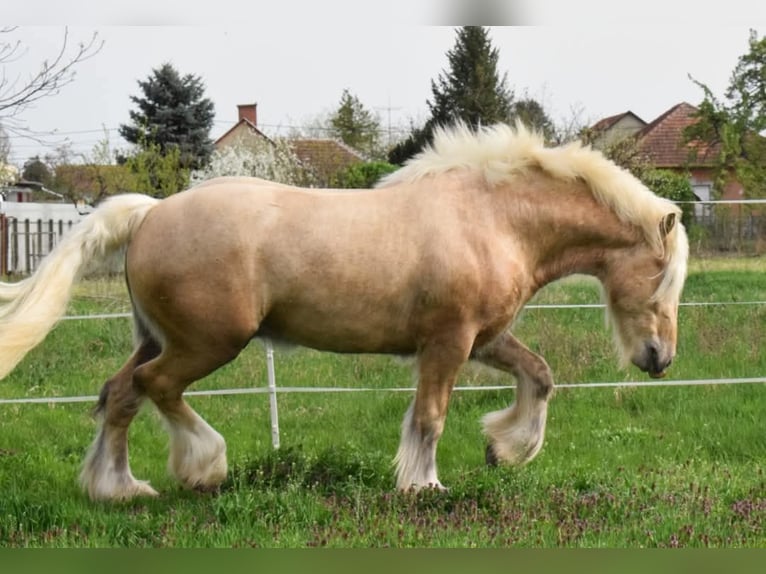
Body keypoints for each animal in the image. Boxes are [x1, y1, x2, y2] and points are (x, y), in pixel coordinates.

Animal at [0, 124, 688, 502]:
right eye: (661, 278)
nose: (660, 359)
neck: (494, 218)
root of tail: (149, 212)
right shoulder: (448, 343)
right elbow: (430, 417)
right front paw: (423, 485)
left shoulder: (483, 338)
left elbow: (540, 376)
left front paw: (505, 450)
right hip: (208, 342)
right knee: (155, 388)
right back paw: (204, 468)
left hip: (157, 337)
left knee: (119, 394)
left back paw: (118, 488)